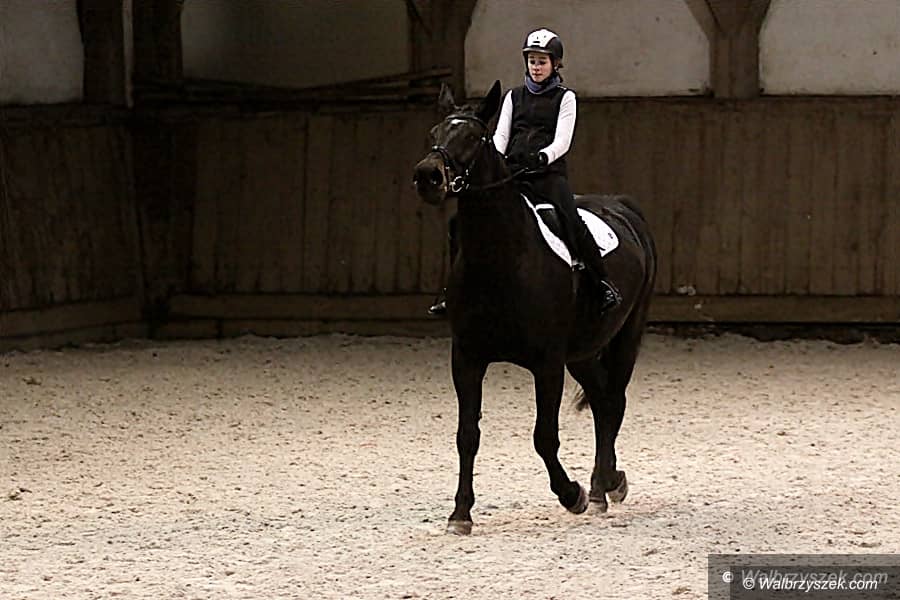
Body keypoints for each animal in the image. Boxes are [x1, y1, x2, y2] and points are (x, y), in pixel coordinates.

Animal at [412, 81, 657, 535]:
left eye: (474, 137)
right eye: (435, 131)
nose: (427, 176)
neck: (501, 261)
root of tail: (623, 206)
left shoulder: (546, 363)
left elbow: (544, 437)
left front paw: (571, 495)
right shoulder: (467, 358)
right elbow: (466, 435)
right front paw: (460, 514)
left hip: (626, 335)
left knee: (614, 401)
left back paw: (603, 485)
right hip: (581, 351)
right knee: (602, 401)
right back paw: (603, 486)